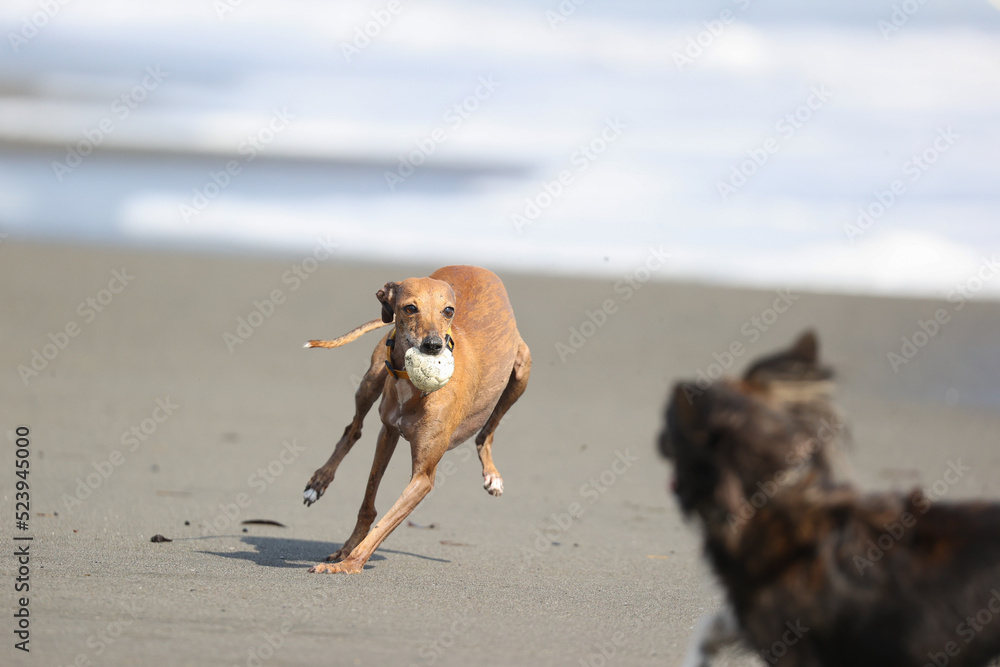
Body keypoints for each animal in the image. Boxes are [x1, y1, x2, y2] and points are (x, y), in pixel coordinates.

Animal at [300, 266, 532, 576]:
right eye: (410, 308)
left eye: (448, 310)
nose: (433, 346)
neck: (411, 385)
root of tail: (478, 268)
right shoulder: (387, 433)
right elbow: (369, 506)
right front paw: (347, 551)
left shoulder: (423, 478)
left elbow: (384, 523)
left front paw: (350, 563)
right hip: (371, 379)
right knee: (353, 429)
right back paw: (318, 482)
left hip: (521, 369)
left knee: (486, 432)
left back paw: (492, 474)